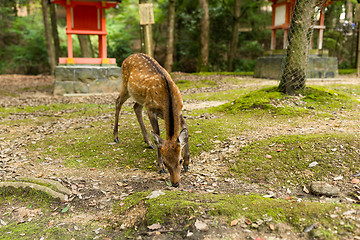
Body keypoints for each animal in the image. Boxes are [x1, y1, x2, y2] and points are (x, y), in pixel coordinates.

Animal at [114, 53, 190, 188]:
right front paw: (160, 167)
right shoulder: (150, 109)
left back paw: (148, 142)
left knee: (136, 107)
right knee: (118, 101)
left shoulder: (180, 108)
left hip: (139, 97)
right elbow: (157, 133)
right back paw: (116, 136)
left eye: (180, 160)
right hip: (125, 85)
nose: (175, 183)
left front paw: (188, 163)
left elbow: (185, 127)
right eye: (166, 162)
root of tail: (127, 57)